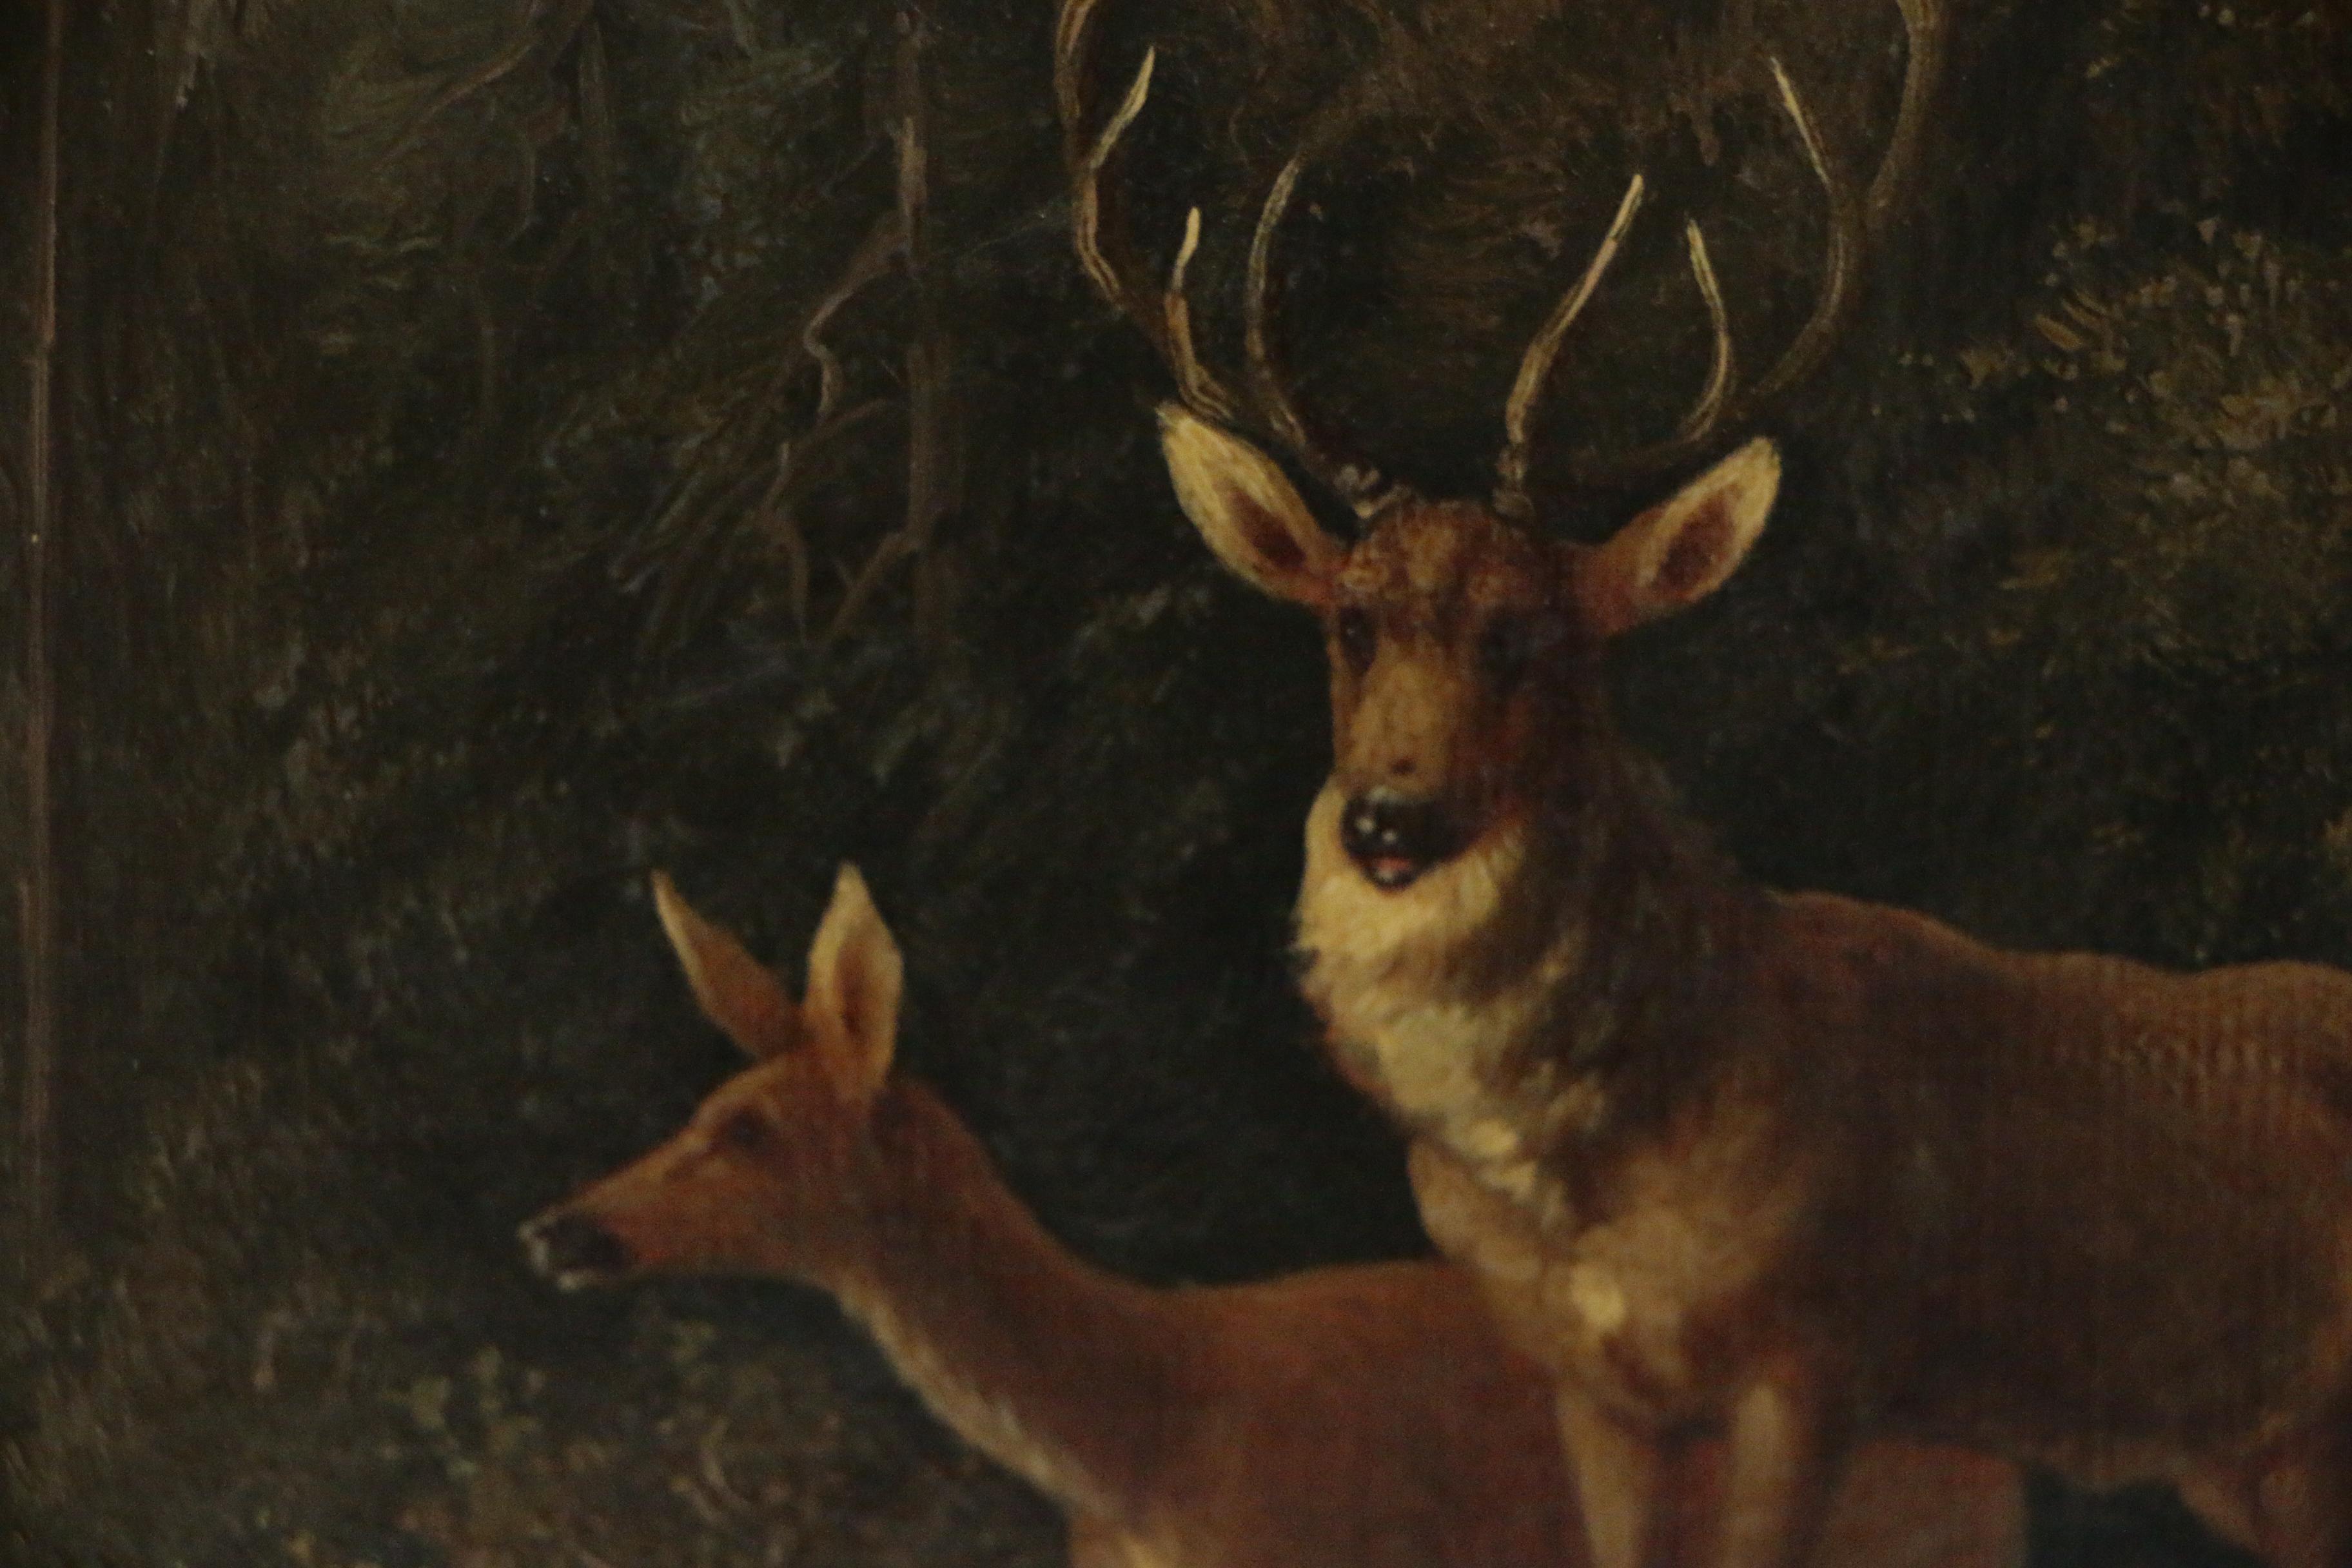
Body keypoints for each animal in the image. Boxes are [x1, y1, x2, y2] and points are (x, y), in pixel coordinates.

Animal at [1057, 3, 2352, 1567]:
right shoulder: (1592, 1385)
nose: (1389, 820)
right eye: (1350, 619)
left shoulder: (1818, 1359)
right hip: (2253, 1458)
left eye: (1533, 633)